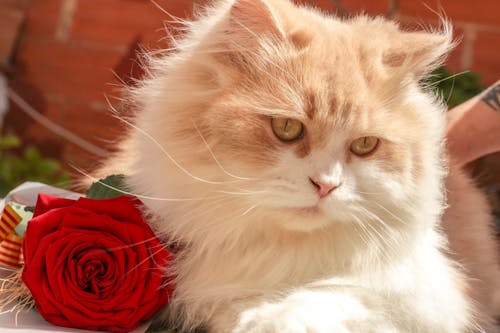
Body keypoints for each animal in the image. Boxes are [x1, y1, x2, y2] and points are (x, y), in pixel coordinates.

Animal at [102, 0, 500, 330]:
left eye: (364, 145)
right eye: (287, 128)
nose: (325, 185)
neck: (279, 249)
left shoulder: (429, 295)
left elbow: (334, 296)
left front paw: (266, 319)